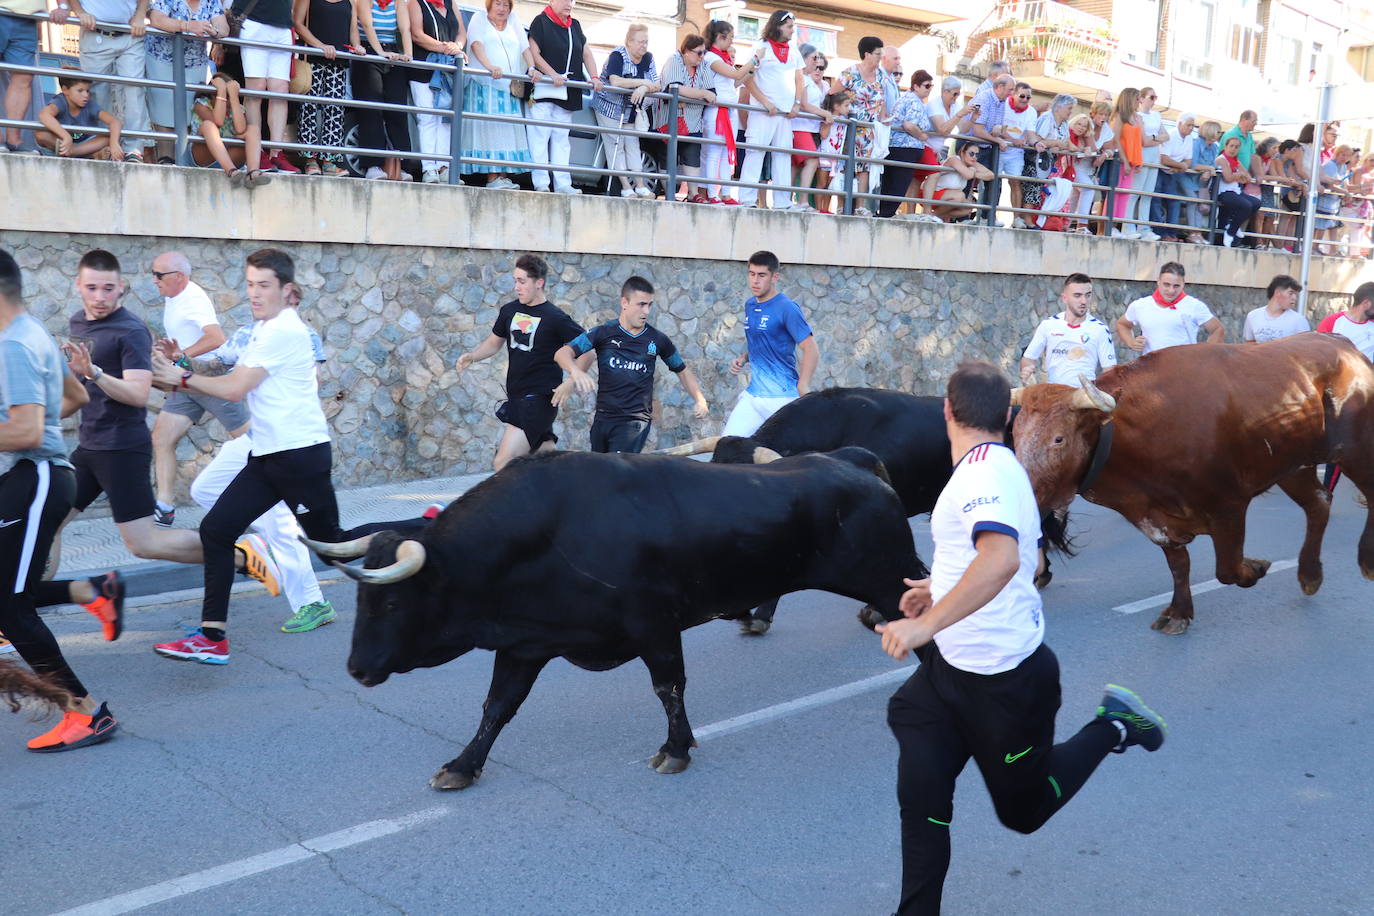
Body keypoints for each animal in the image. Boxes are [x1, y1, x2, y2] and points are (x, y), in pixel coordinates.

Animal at [307, 450, 928, 791]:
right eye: (362, 599)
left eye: (392, 602)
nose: (356, 669)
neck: (547, 532)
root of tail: (855, 463)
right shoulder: (526, 643)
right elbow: (496, 707)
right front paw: (463, 765)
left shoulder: (655, 625)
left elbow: (669, 687)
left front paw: (676, 750)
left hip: (891, 576)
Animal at [1011, 333, 1374, 634]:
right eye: (1014, 434)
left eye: (1058, 439)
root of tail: (1345, 345)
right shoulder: (1156, 520)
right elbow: (1179, 566)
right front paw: (1180, 612)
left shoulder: (1229, 507)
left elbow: (1227, 569)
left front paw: (1255, 567)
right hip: (1293, 466)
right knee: (1319, 502)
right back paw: (1310, 575)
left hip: (1355, 450)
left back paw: (1365, 560)